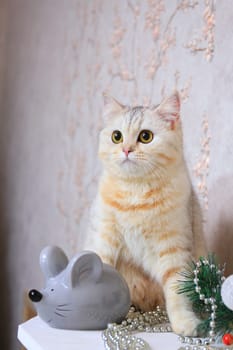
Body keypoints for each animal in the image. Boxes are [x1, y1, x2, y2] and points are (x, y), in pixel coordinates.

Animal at [83, 91, 206, 336]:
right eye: (117, 136)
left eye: (145, 137)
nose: (126, 150)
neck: (136, 191)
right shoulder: (103, 237)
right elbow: (99, 269)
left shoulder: (174, 248)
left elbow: (177, 292)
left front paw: (185, 323)